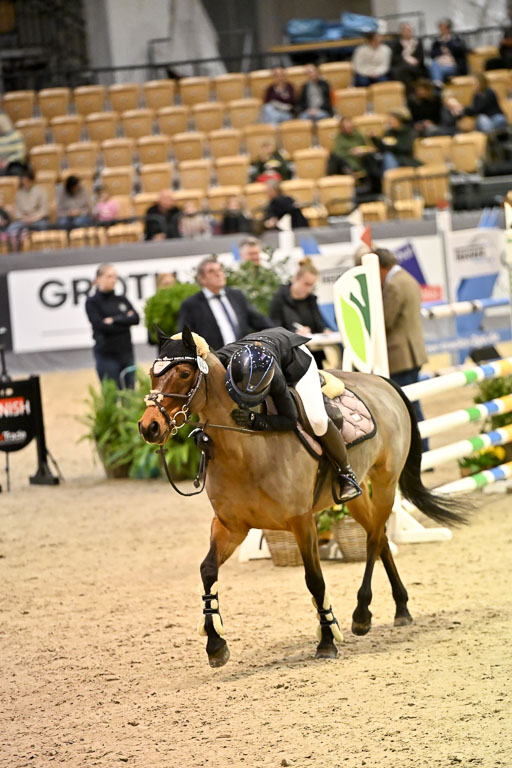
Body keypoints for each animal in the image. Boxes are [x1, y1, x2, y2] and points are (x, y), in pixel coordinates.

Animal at [139, 326, 465, 668]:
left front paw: (327, 639)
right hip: (356, 496)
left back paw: (362, 614)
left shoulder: (302, 522)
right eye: (152, 374)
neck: (244, 450)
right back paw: (400, 607)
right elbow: (208, 570)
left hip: (386, 481)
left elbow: (314, 579)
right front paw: (215, 643)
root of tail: (382, 382)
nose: (149, 427)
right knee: (380, 536)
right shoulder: (231, 527)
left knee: (374, 538)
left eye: (184, 373)